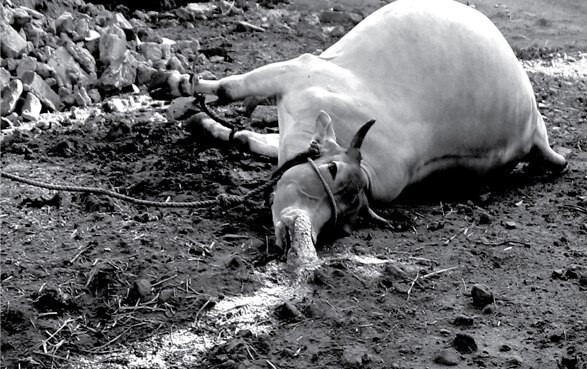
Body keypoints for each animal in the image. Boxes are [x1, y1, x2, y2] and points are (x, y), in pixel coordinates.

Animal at [152, 0, 564, 264]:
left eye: (347, 223)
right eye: (331, 169)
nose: (303, 233)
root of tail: (535, 130)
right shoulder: (293, 71)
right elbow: (229, 88)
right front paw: (177, 83)